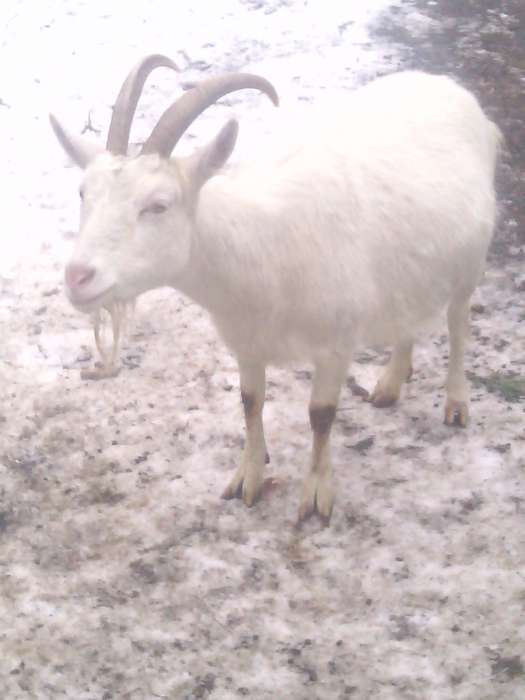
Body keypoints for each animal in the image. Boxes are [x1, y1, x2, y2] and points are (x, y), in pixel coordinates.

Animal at [50, 54, 501, 524]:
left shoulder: (336, 345)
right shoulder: (247, 343)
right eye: (83, 193)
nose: (78, 277)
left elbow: (321, 415)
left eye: (158, 205)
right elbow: (250, 402)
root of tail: (452, 90)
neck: (262, 247)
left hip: (470, 262)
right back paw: (390, 384)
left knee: (458, 324)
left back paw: (456, 403)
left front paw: (317, 495)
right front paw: (247, 478)